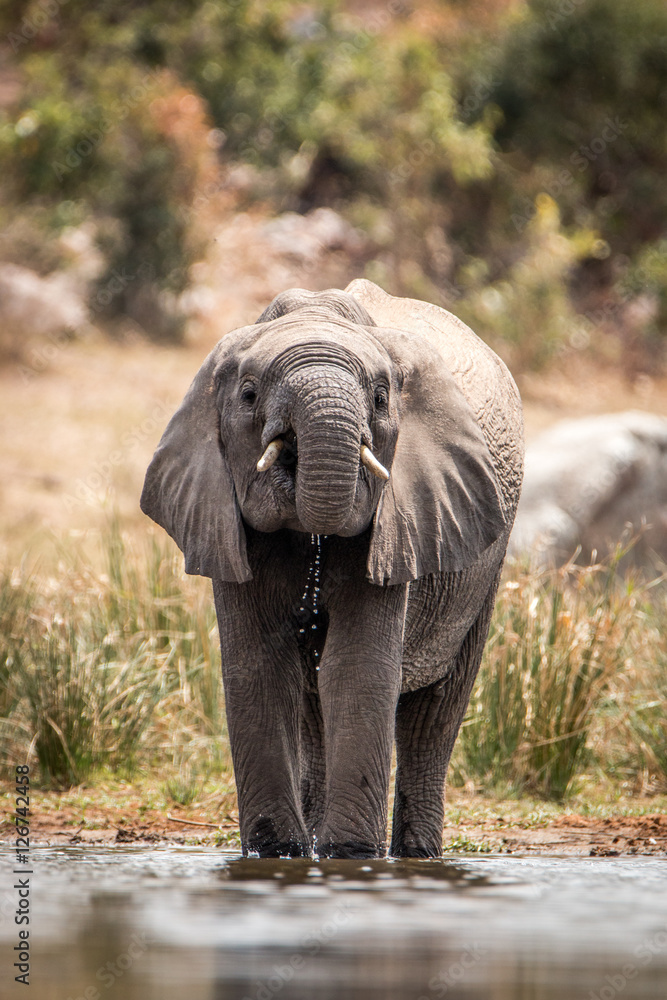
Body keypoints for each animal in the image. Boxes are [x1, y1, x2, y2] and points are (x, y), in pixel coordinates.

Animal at [141, 278, 524, 859]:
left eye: (382, 398)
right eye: (248, 394)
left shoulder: (403, 520)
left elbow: (358, 667)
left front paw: (353, 857)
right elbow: (258, 668)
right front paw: (277, 854)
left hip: (486, 563)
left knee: (435, 710)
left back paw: (416, 854)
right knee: (312, 703)